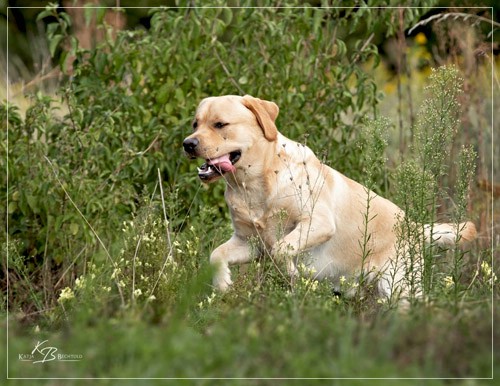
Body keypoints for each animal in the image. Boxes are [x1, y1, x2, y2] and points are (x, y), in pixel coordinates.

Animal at [184, 94, 476, 302]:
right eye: (195, 124)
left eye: (220, 124)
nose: (188, 144)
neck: (255, 183)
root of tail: (414, 226)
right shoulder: (248, 242)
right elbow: (216, 254)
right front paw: (223, 282)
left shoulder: (319, 222)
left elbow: (282, 248)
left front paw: (292, 272)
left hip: (399, 287)